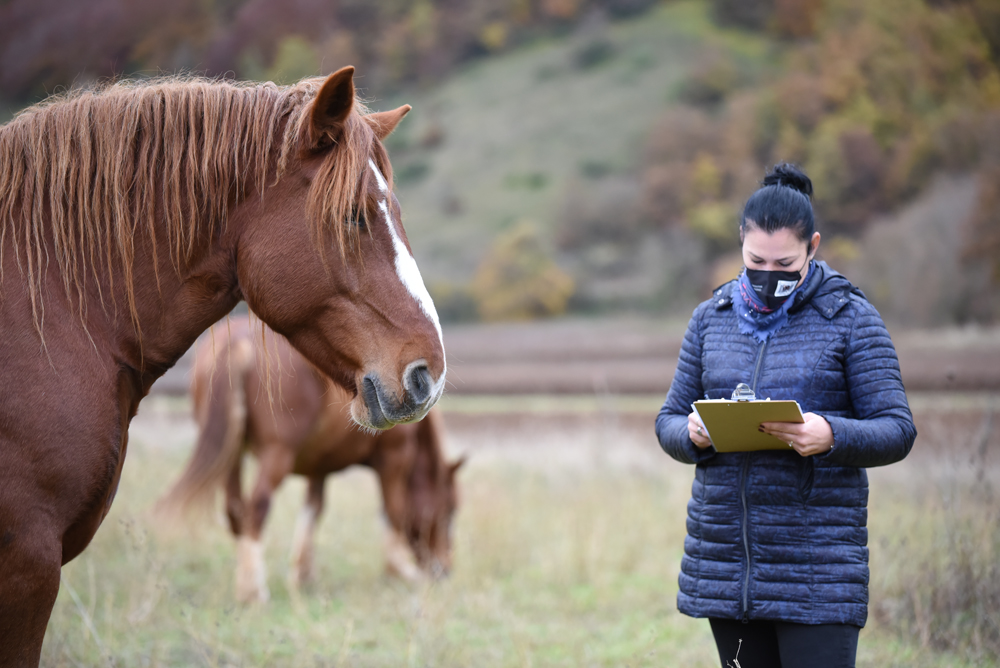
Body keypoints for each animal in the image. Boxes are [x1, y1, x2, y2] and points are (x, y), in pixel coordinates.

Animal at [161, 316, 464, 604]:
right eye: (449, 511)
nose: (444, 571)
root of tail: (236, 340)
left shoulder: (318, 467)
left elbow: (313, 509)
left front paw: (303, 573)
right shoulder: (394, 458)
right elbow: (394, 511)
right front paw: (399, 568)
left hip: (230, 455)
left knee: (235, 511)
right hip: (276, 456)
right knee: (256, 508)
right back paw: (253, 591)